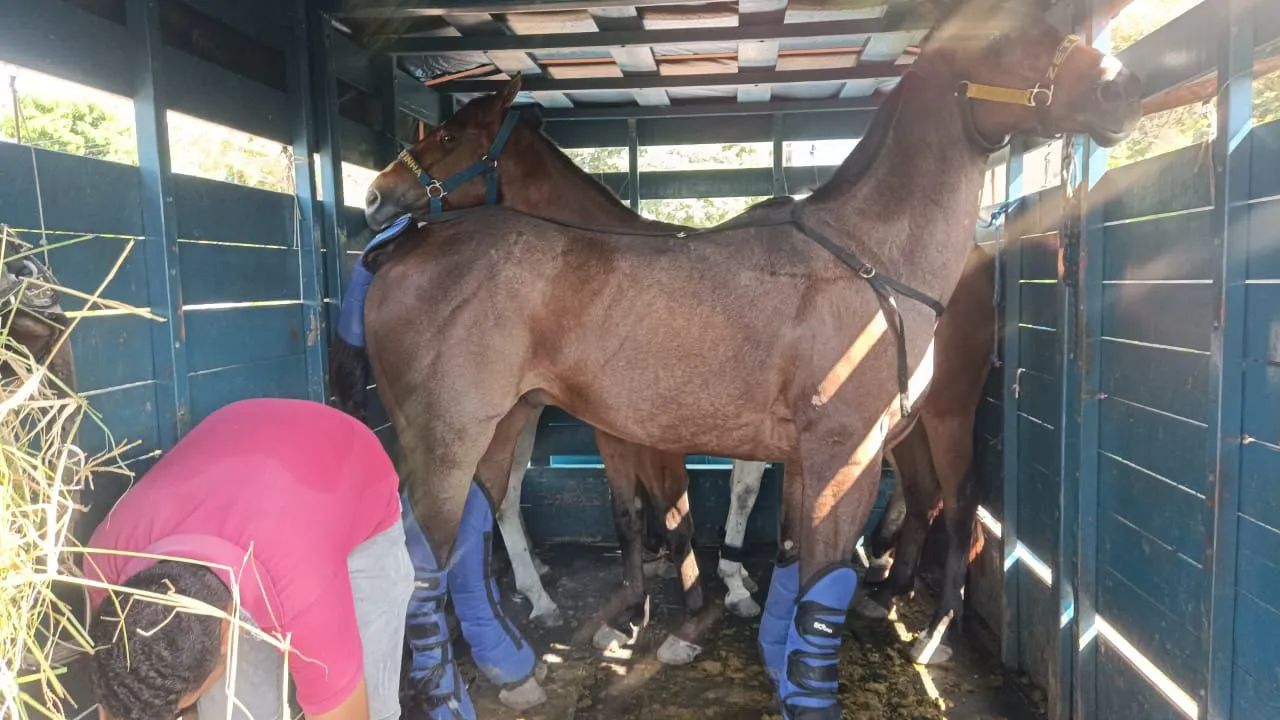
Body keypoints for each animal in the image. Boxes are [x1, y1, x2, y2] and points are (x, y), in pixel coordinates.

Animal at [361, 0, 1139, 714]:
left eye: (452, 138)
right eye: (1006, 36)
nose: (1120, 88)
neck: (869, 260)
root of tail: (403, 251)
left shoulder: (816, 459)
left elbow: (788, 570)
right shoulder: (837, 458)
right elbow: (803, 588)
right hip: (452, 440)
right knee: (427, 567)